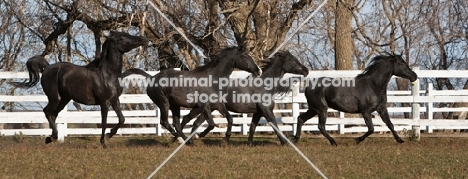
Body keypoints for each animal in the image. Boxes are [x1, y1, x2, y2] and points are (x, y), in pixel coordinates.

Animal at [11, 31, 148, 148]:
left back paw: (51, 138)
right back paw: (52, 137)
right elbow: (104, 122)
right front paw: (104, 143)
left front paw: (110, 134)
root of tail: (47, 68)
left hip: (64, 100)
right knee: (47, 112)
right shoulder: (104, 103)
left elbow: (122, 119)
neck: (108, 74)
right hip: (55, 98)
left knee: (53, 114)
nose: (143, 39)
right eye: (122, 38)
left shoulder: (115, 101)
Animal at [120, 46, 262, 143]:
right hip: (164, 103)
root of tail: (152, 77)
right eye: (245, 56)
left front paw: (226, 138)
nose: (258, 71)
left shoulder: (218, 105)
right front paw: (200, 135)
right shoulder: (204, 106)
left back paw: (183, 139)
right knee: (165, 122)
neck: (213, 79)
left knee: (176, 123)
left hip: (175, 106)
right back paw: (183, 139)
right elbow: (211, 124)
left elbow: (230, 119)